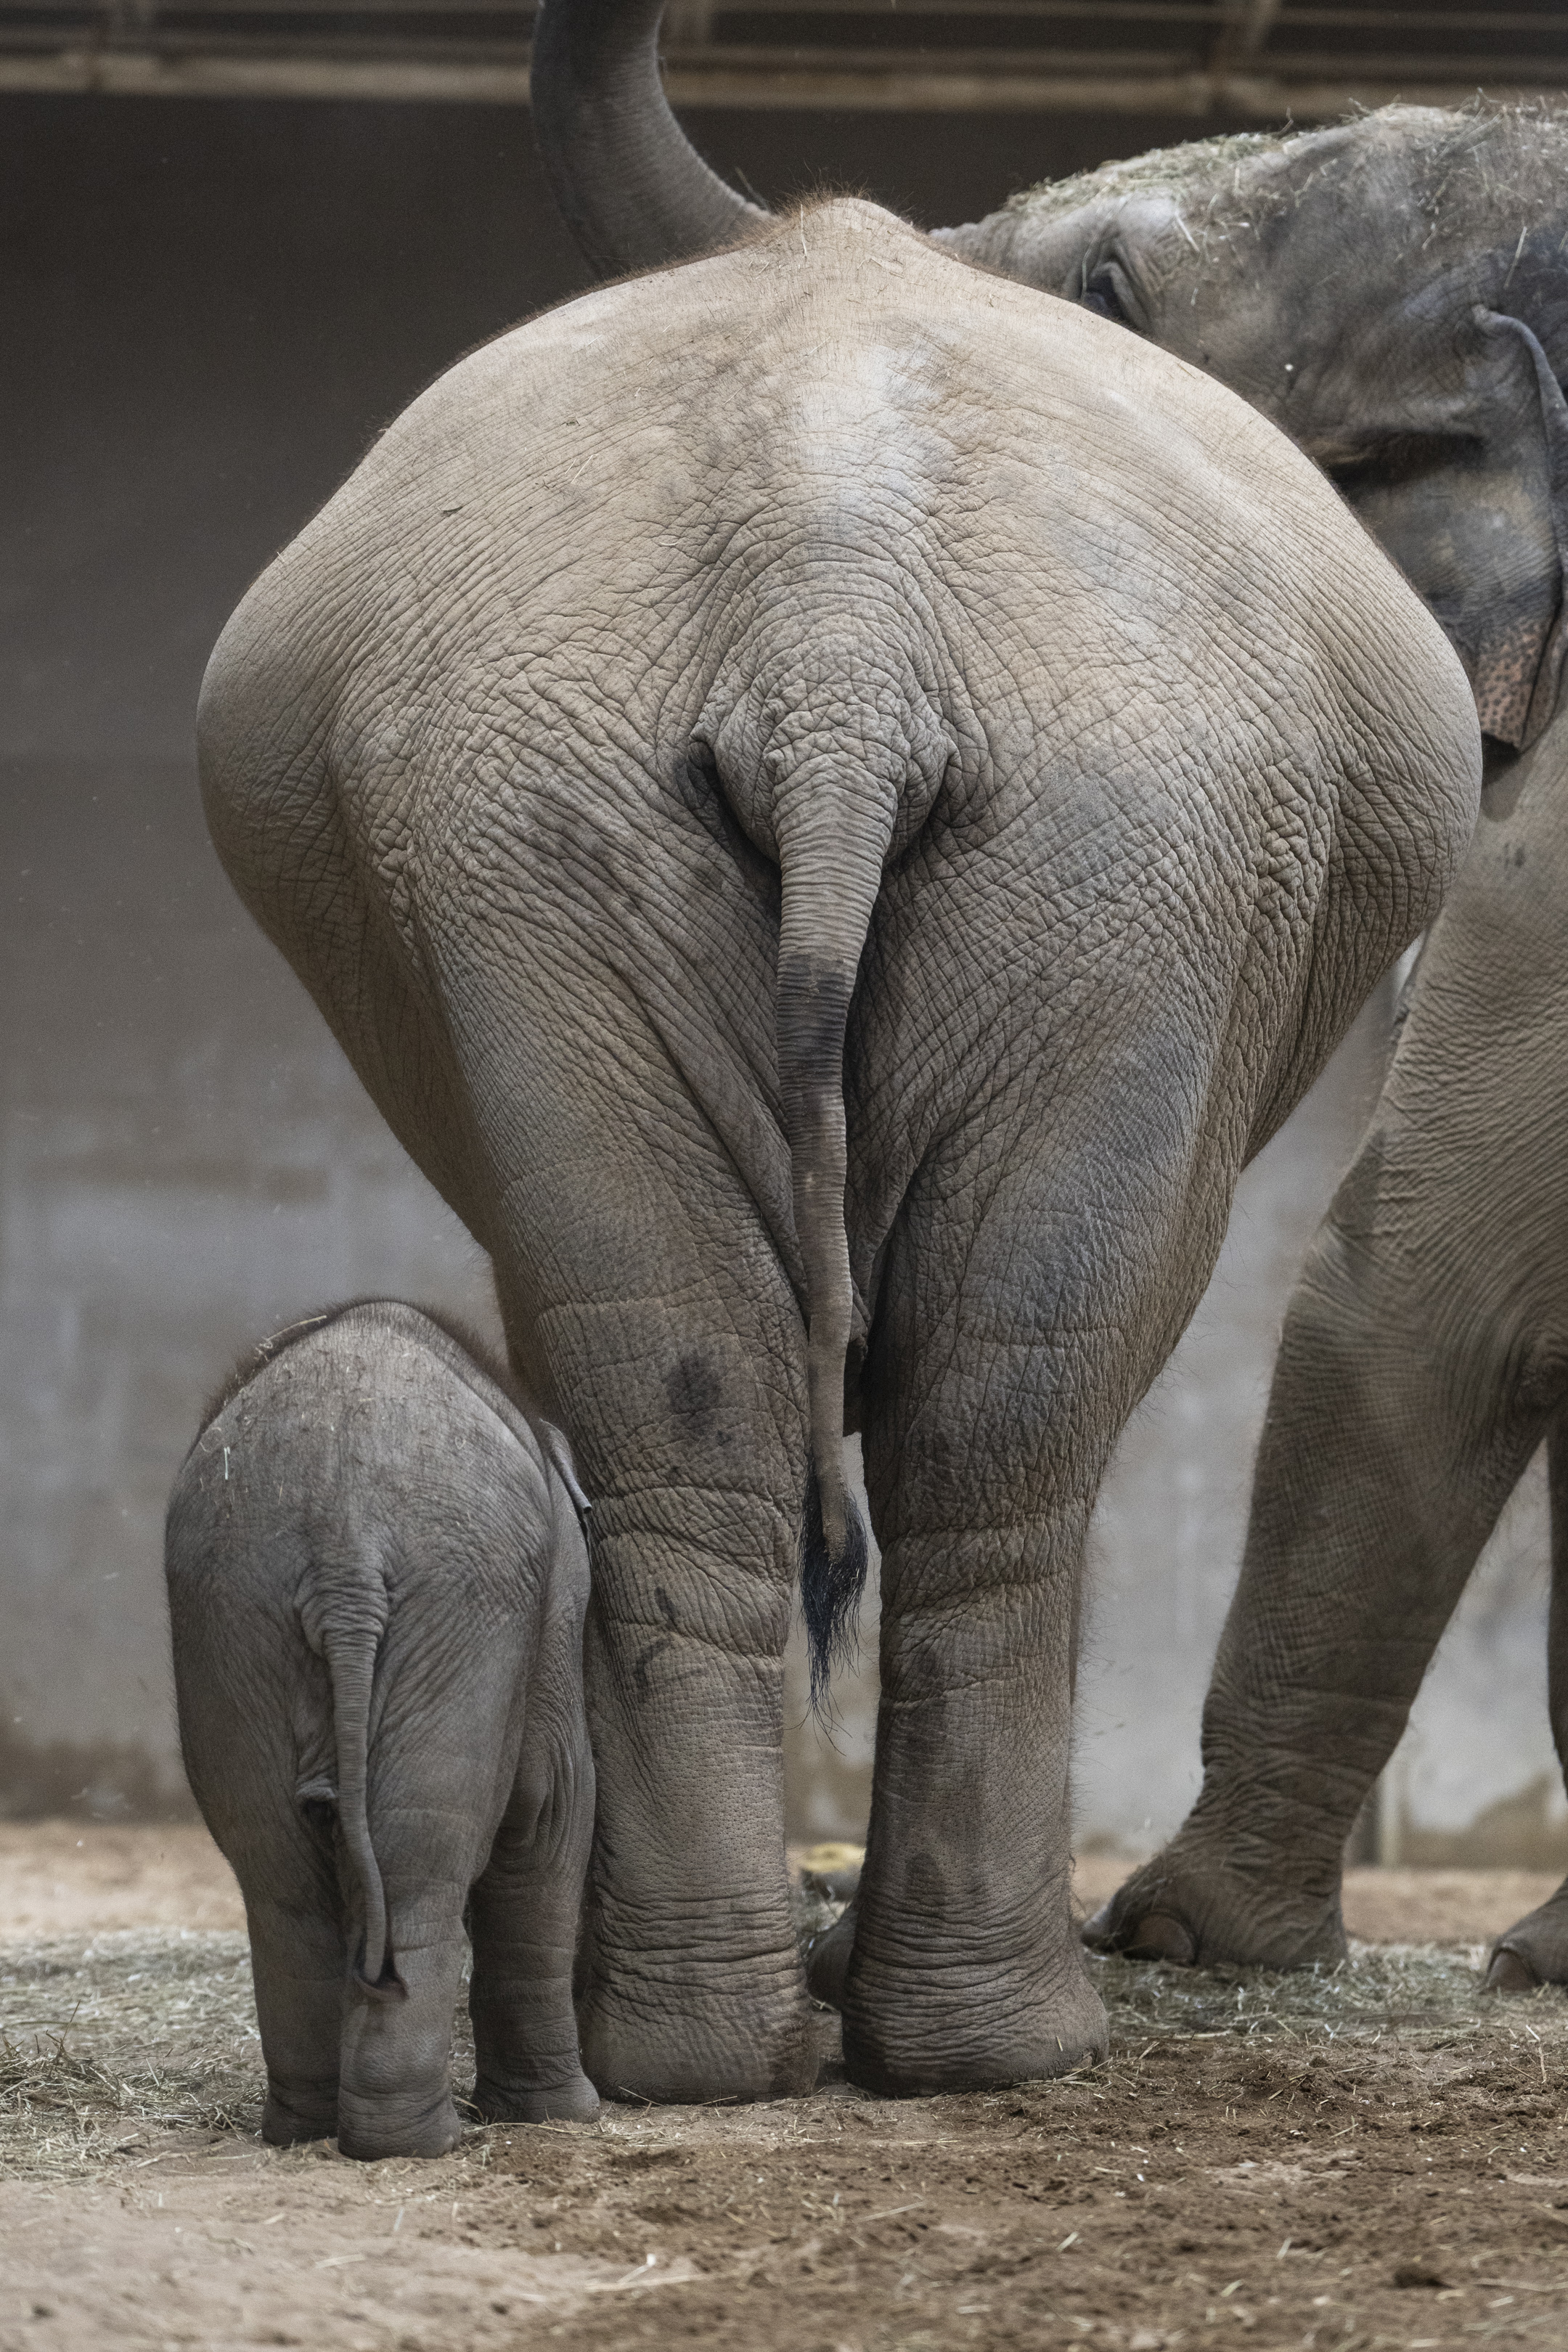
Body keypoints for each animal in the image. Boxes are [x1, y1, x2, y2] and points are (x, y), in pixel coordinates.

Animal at [166, 1298, 599, 2158]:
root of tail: (346, 1547)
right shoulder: (556, 1603)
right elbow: (552, 1804)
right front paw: (567, 2117)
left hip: (230, 1609)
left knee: (278, 1867)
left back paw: (305, 2130)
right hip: (461, 1600)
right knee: (420, 1860)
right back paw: (417, 2141)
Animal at [197, 192, 1478, 2101]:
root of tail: (835, 632)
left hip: (1039, 839)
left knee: (820, 1391)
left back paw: (791, 2046)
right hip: (1009, 838)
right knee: (946, 1409)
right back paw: (913, 2043)